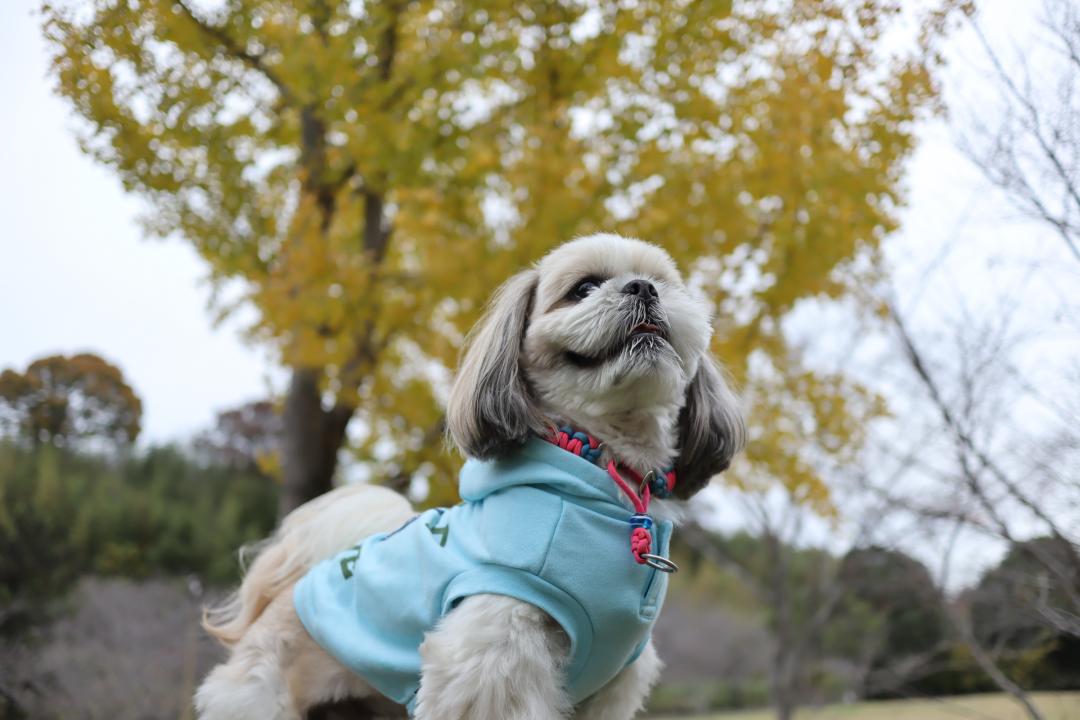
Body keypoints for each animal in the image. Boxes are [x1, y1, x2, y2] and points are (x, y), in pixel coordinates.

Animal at [196, 234, 743, 716]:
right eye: (584, 288)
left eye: (664, 284)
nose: (643, 288)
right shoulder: (495, 655)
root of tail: (285, 592)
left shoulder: (613, 687)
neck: (606, 471)